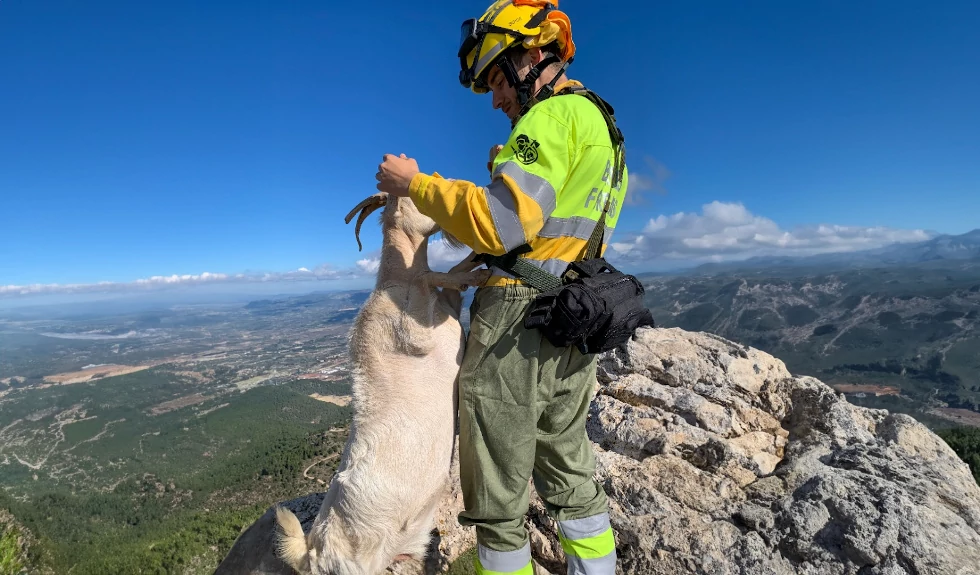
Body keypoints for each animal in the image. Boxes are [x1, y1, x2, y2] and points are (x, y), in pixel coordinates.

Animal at [274, 194, 488, 575]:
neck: (396, 282)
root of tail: (313, 552)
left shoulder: (443, 308)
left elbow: (446, 282)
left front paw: (472, 265)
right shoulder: (411, 333)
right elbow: (428, 279)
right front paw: (471, 272)